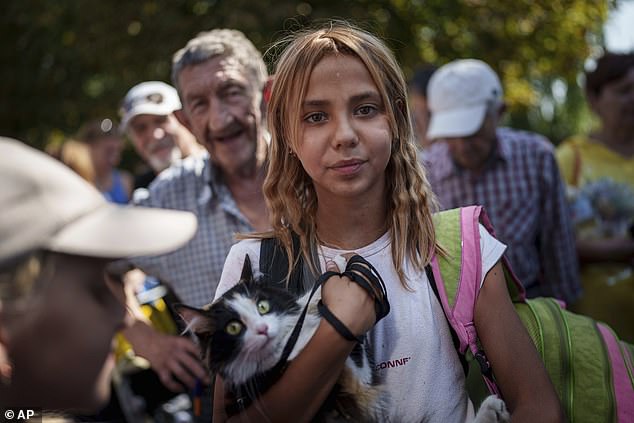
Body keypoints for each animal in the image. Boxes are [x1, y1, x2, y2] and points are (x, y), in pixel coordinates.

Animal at [177, 255, 508, 423]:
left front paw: (337, 271)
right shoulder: (353, 388)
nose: (261, 330)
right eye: (233, 329)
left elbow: (309, 301)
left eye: (262, 306)